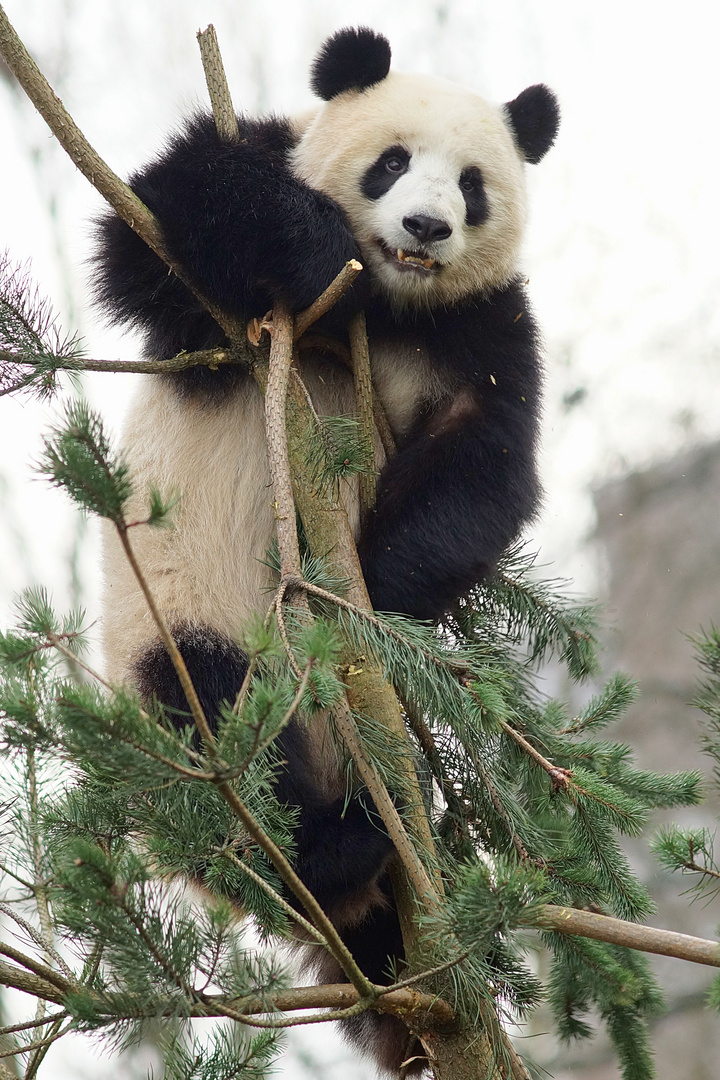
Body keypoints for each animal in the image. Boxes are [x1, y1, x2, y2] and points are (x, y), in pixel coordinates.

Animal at [94, 27, 557, 1080]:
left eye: (472, 186)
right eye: (390, 162)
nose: (425, 226)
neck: (381, 307)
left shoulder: (482, 326)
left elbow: (486, 462)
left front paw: (379, 593)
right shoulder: (205, 279)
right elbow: (160, 220)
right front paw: (311, 248)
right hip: (183, 639)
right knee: (212, 736)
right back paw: (333, 849)